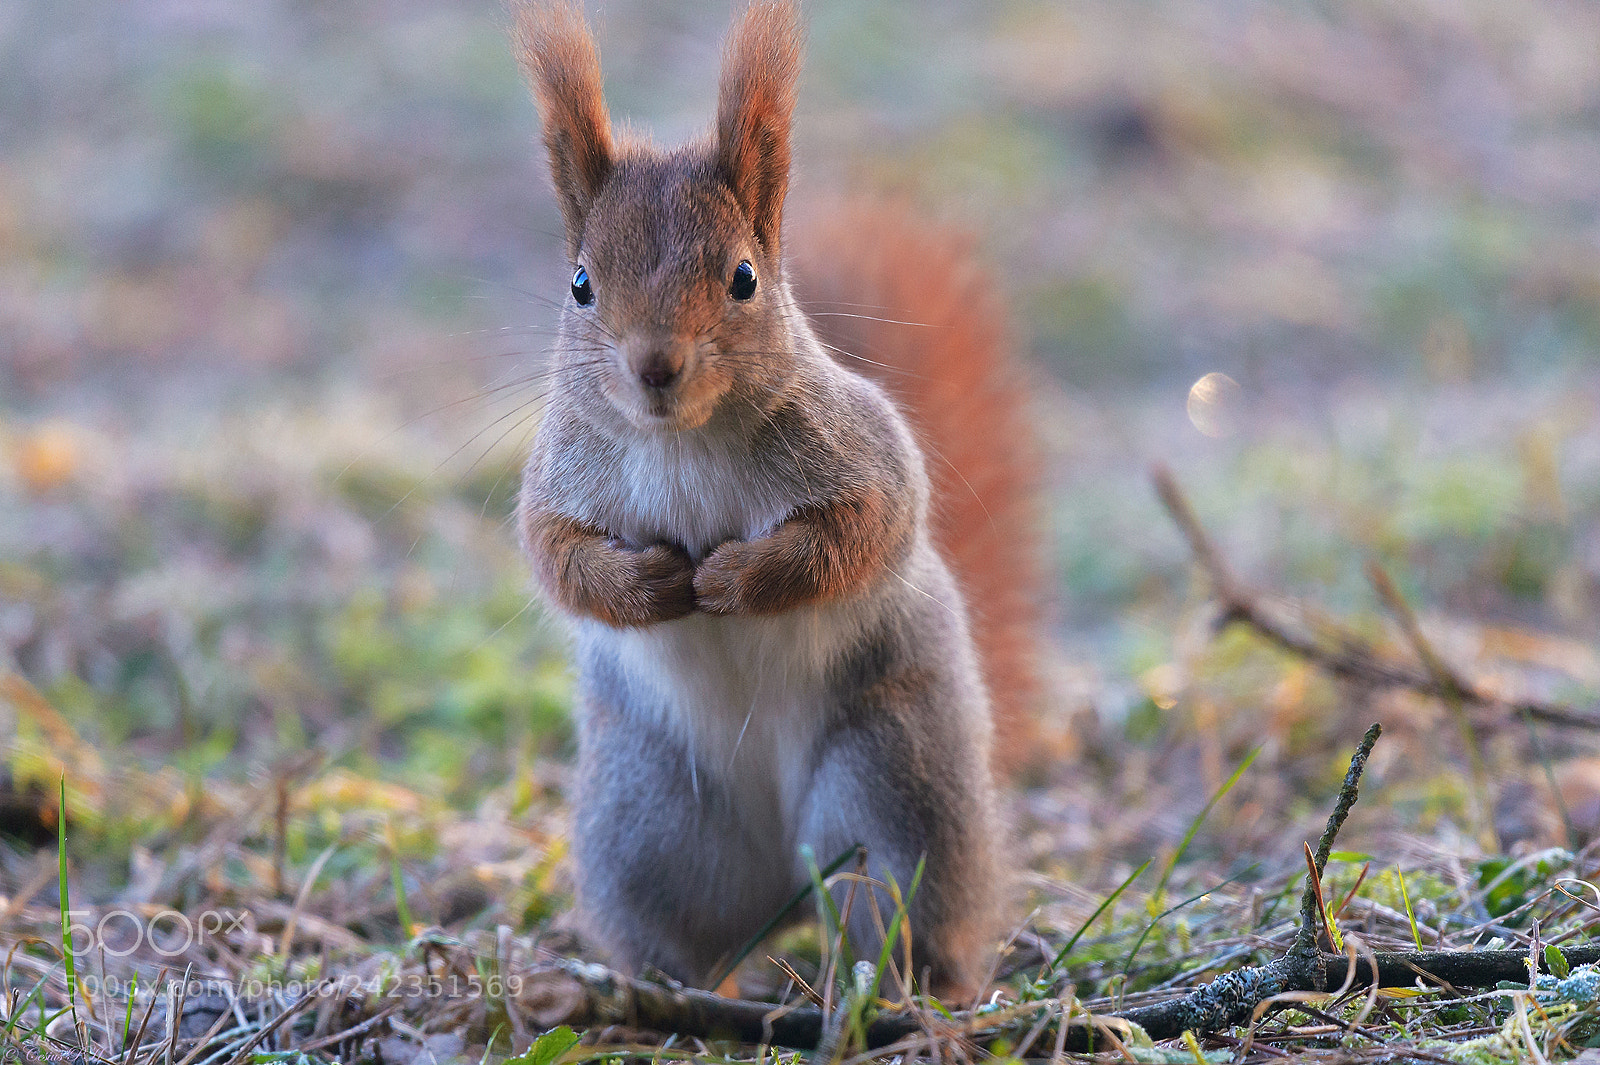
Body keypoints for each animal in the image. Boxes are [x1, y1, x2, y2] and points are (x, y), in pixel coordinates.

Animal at [511, 0, 1041, 999]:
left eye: (743, 277)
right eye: (581, 284)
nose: (655, 365)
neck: (681, 441)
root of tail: (781, 879)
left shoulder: (862, 457)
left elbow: (857, 533)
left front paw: (732, 581)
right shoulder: (558, 485)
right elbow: (559, 560)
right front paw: (650, 588)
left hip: (892, 791)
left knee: (897, 907)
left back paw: (905, 989)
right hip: (652, 822)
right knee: (685, 931)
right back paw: (659, 989)